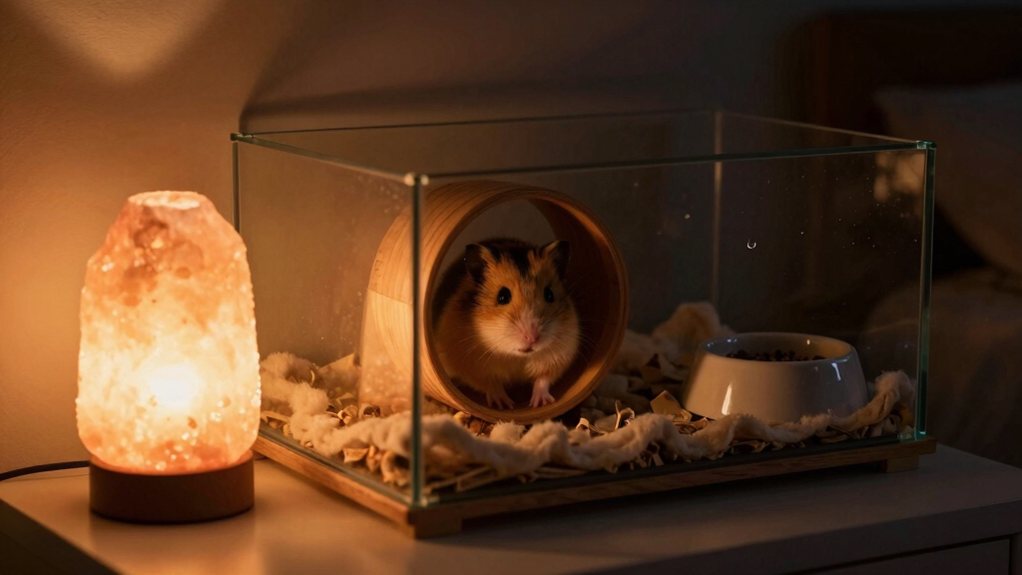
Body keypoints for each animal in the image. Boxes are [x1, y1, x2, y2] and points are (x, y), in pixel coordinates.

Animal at [432, 238, 580, 409]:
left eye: (549, 295)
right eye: (502, 296)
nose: (532, 338)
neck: (516, 356)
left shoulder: (560, 355)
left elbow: (543, 379)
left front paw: (538, 403)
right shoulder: (470, 365)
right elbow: (491, 384)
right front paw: (504, 404)